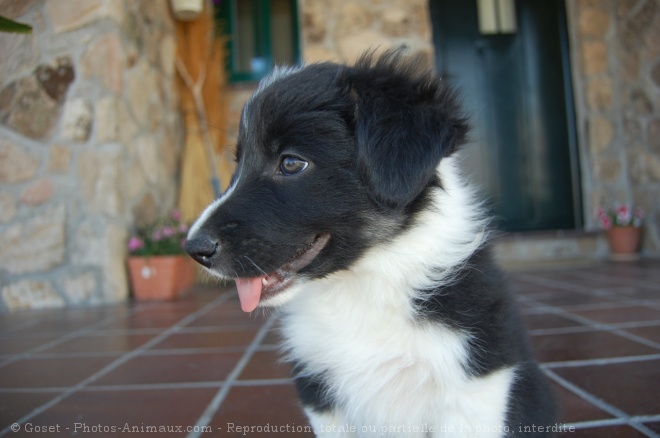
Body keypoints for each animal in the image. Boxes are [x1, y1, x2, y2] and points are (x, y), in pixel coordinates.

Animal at [187, 50, 556, 434]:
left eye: (290, 163)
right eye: (238, 164)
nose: (194, 249)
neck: (364, 284)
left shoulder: (473, 391)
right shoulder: (323, 400)